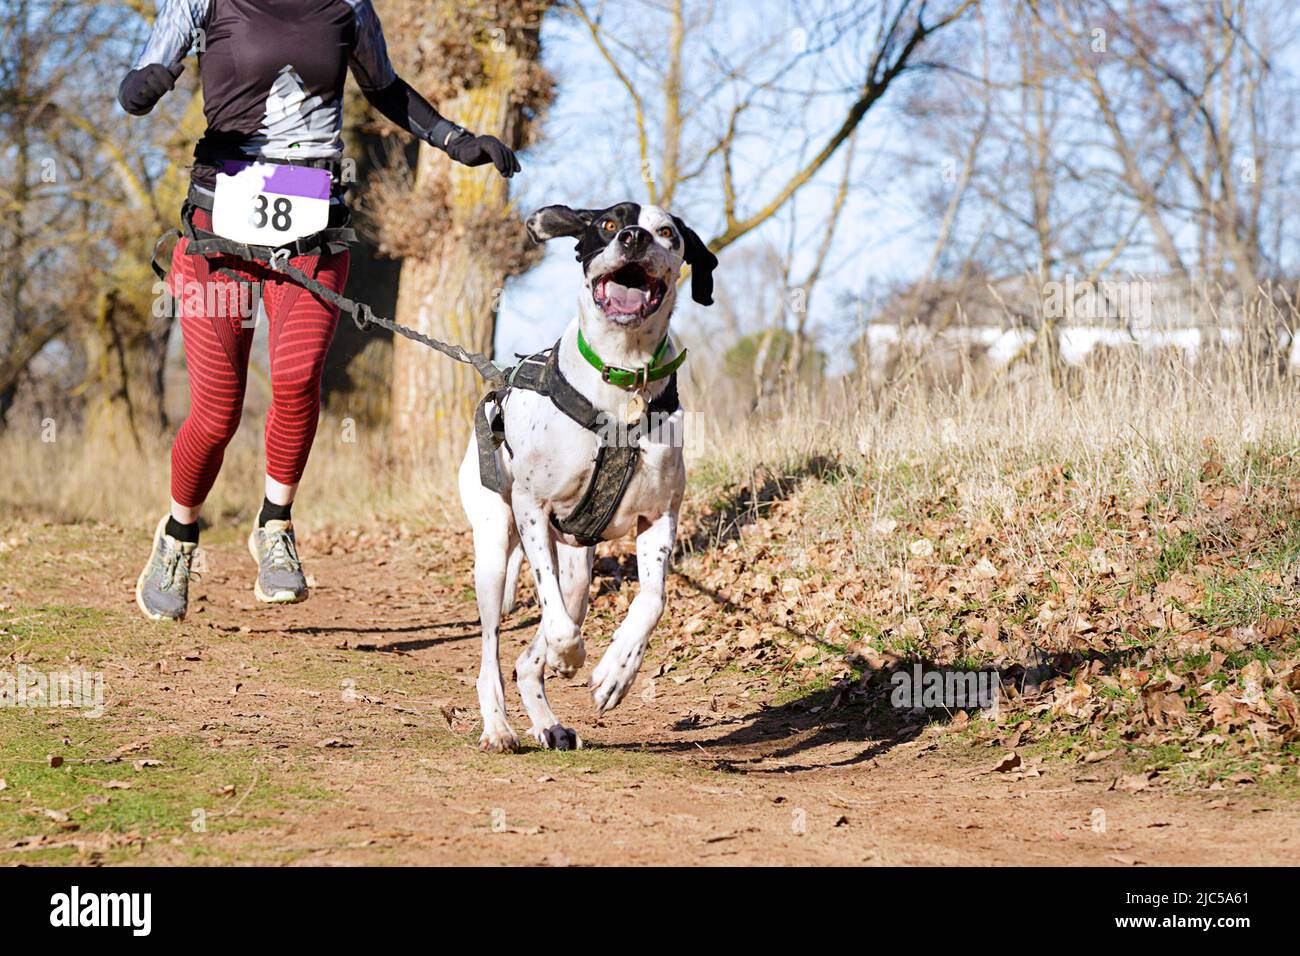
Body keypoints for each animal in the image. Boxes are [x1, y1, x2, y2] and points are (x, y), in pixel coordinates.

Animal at [457, 201, 722, 749]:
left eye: (668, 232)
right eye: (607, 223)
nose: (634, 237)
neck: (622, 380)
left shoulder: (659, 517)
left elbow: (653, 600)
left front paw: (617, 671)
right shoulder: (533, 510)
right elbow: (555, 622)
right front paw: (570, 654)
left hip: (579, 572)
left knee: (525, 660)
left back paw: (548, 723)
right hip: (494, 549)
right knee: (493, 654)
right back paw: (498, 725)